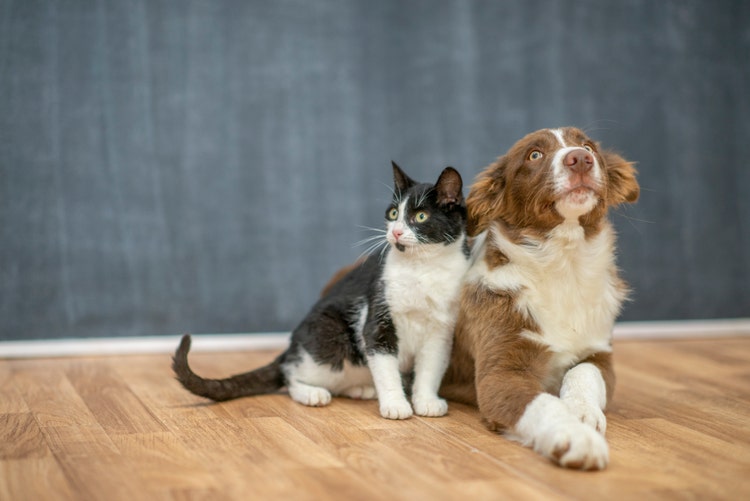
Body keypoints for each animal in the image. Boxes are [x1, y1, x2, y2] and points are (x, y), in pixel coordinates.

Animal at [175, 161, 470, 418]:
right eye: (394, 213)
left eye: (420, 216)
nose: (395, 232)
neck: (423, 268)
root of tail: (292, 345)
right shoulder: (377, 316)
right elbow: (385, 367)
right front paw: (396, 405)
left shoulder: (441, 330)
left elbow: (430, 368)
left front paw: (427, 401)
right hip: (330, 337)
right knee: (291, 373)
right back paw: (312, 393)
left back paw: (361, 388)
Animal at [444, 126, 644, 468]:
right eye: (534, 155)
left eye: (588, 146)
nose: (580, 159)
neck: (562, 265)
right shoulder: (500, 374)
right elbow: (541, 404)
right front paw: (574, 436)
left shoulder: (600, 354)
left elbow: (583, 372)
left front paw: (581, 410)